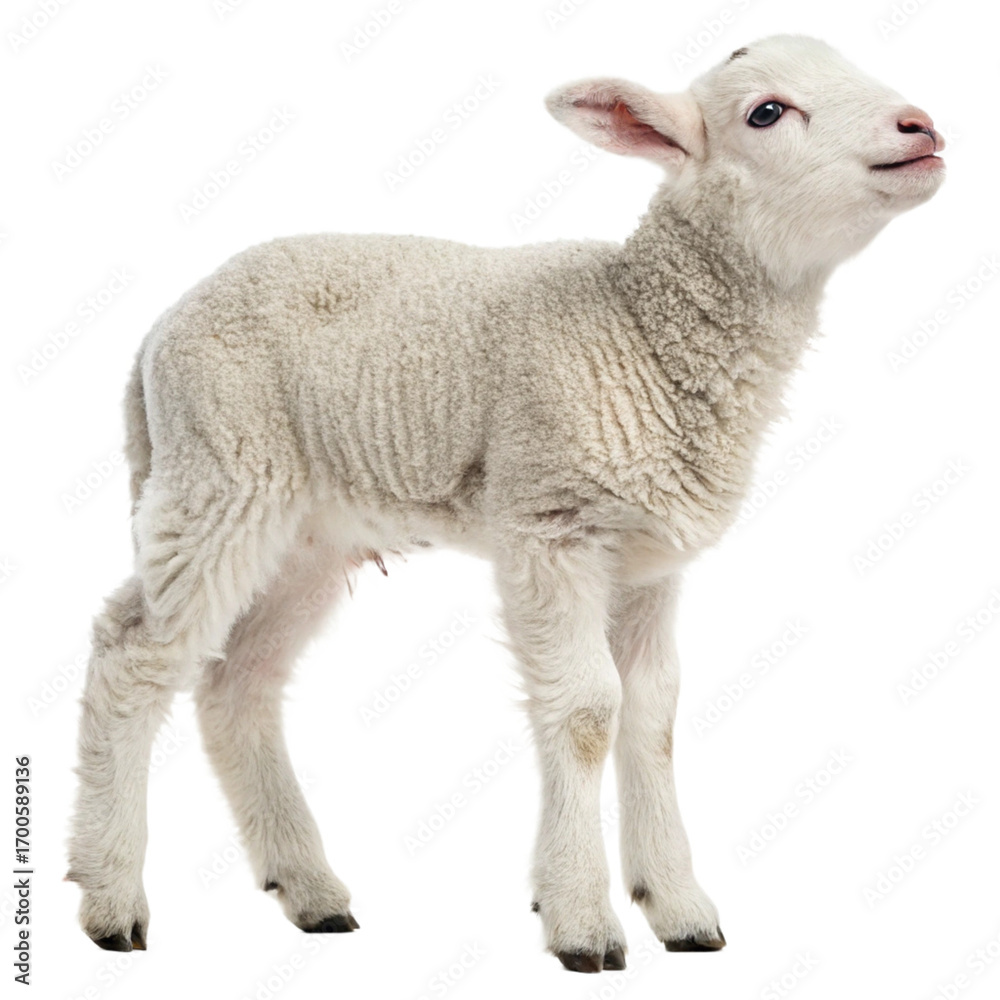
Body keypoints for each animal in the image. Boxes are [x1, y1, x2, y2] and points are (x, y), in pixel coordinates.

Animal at [66, 34, 944, 971]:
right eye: (767, 112)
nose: (921, 127)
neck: (636, 329)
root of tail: (155, 336)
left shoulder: (647, 557)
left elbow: (654, 715)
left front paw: (677, 908)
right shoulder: (550, 523)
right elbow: (589, 711)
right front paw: (582, 921)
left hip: (306, 533)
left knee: (240, 684)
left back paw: (310, 892)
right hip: (222, 472)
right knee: (132, 656)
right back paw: (111, 899)